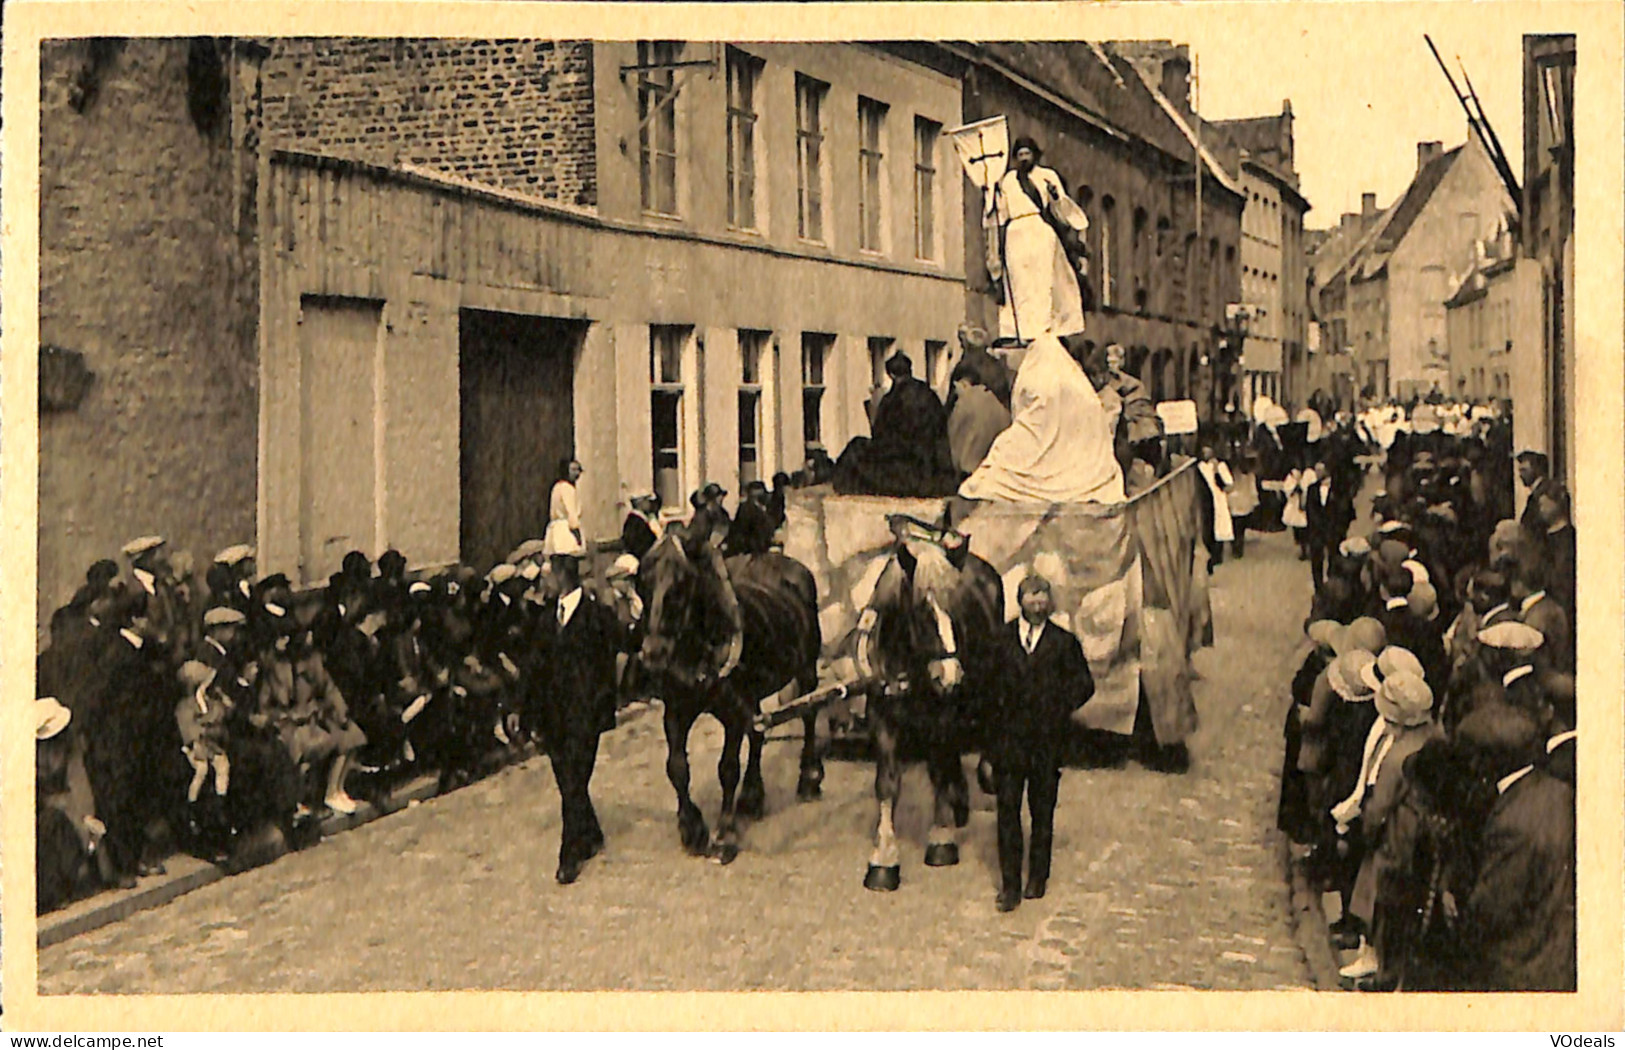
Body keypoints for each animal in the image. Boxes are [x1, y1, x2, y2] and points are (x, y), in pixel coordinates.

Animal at [637, 523, 825, 864]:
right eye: (642, 581)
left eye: (681, 583)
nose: (654, 653)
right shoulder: (677, 710)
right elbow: (677, 768)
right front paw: (692, 828)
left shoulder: (732, 715)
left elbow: (727, 768)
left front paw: (724, 833)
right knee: (759, 732)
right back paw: (752, 796)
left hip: (806, 670)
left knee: (808, 715)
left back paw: (809, 776)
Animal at [851, 516, 1001, 890]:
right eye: (921, 610)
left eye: (958, 604)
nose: (948, 674)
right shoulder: (882, 717)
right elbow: (888, 783)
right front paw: (883, 859)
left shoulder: (942, 717)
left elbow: (938, 770)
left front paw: (940, 839)